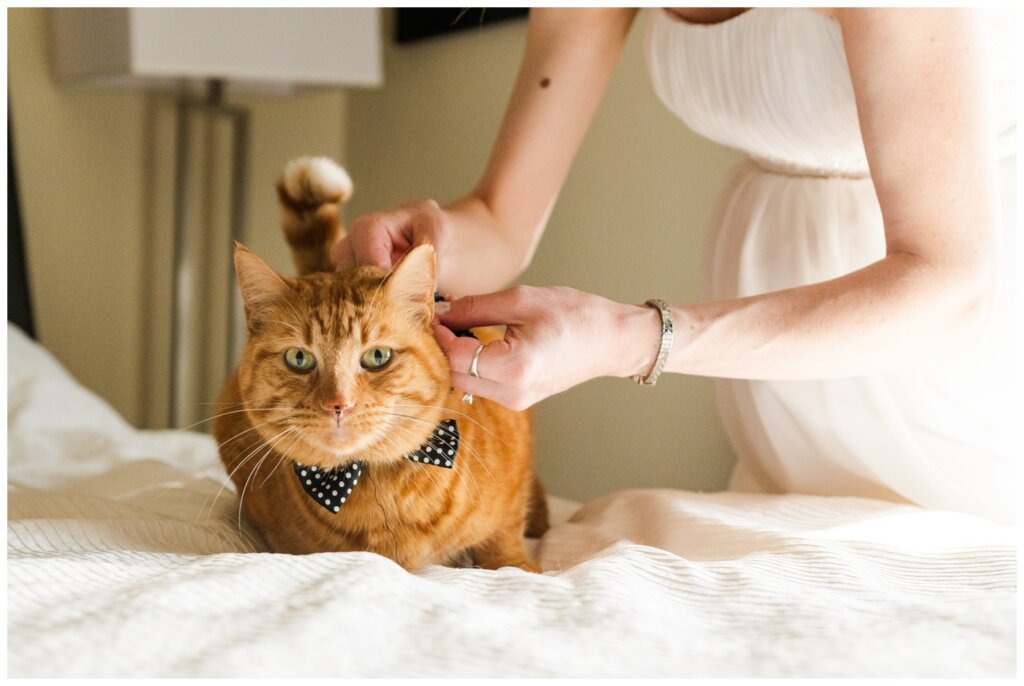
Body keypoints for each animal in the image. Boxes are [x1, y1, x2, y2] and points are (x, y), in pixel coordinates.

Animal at [215, 158, 548, 573]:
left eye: (377, 357)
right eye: (299, 358)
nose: (338, 405)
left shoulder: (514, 466)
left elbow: (504, 539)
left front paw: (519, 567)